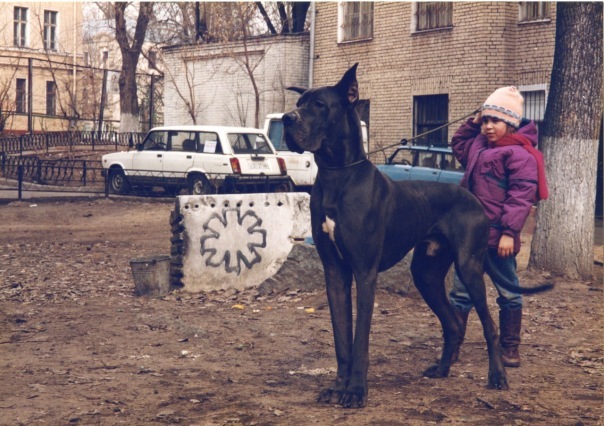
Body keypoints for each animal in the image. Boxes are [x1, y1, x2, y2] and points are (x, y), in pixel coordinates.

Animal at [282, 64, 552, 408]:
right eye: (299, 102)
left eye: (319, 105)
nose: (287, 118)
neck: (337, 176)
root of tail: (475, 200)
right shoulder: (334, 271)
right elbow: (341, 337)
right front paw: (338, 387)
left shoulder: (365, 272)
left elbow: (359, 339)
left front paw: (356, 390)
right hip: (426, 273)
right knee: (453, 324)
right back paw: (442, 369)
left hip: (469, 267)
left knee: (489, 325)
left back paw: (497, 377)